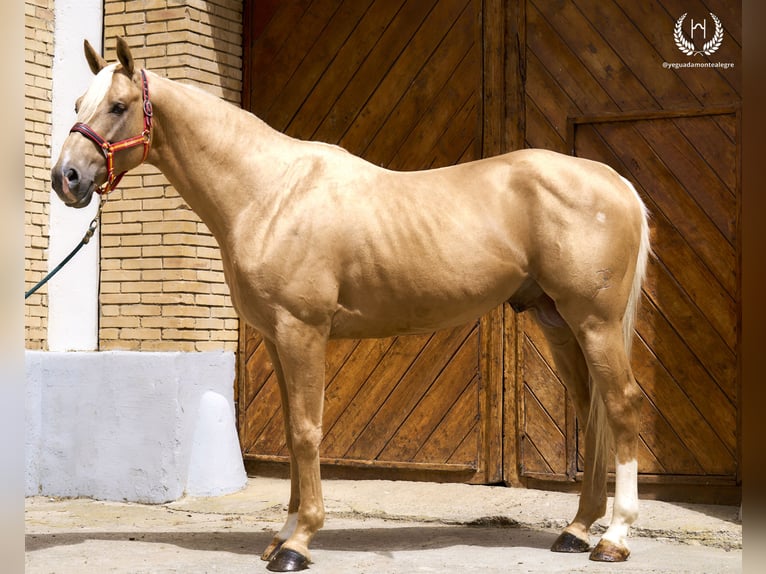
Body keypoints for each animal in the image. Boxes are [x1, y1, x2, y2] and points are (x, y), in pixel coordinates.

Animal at [54, 38, 652, 572]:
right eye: (77, 103)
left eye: (118, 105)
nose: (67, 178)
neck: (270, 193)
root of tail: (615, 181)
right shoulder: (276, 337)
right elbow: (292, 432)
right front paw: (283, 535)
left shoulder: (302, 331)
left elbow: (305, 431)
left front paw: (298, 544)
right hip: (559, 322)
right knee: (592, 412)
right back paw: (577, 531)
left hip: (594, 322)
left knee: (621, 406)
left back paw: (615, 538)